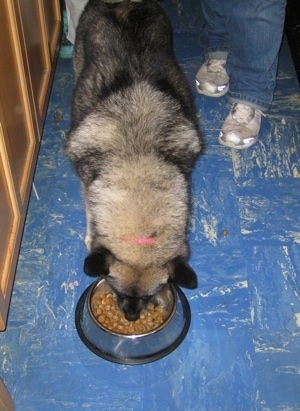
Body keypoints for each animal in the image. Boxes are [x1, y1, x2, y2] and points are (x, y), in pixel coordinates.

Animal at [65, 0, 202, 322]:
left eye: (151, 295)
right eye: (116, 290)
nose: (130, 318)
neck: (137, 164)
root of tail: (123, 4)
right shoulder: (87, 178)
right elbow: (89, 209)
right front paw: (90, 234)